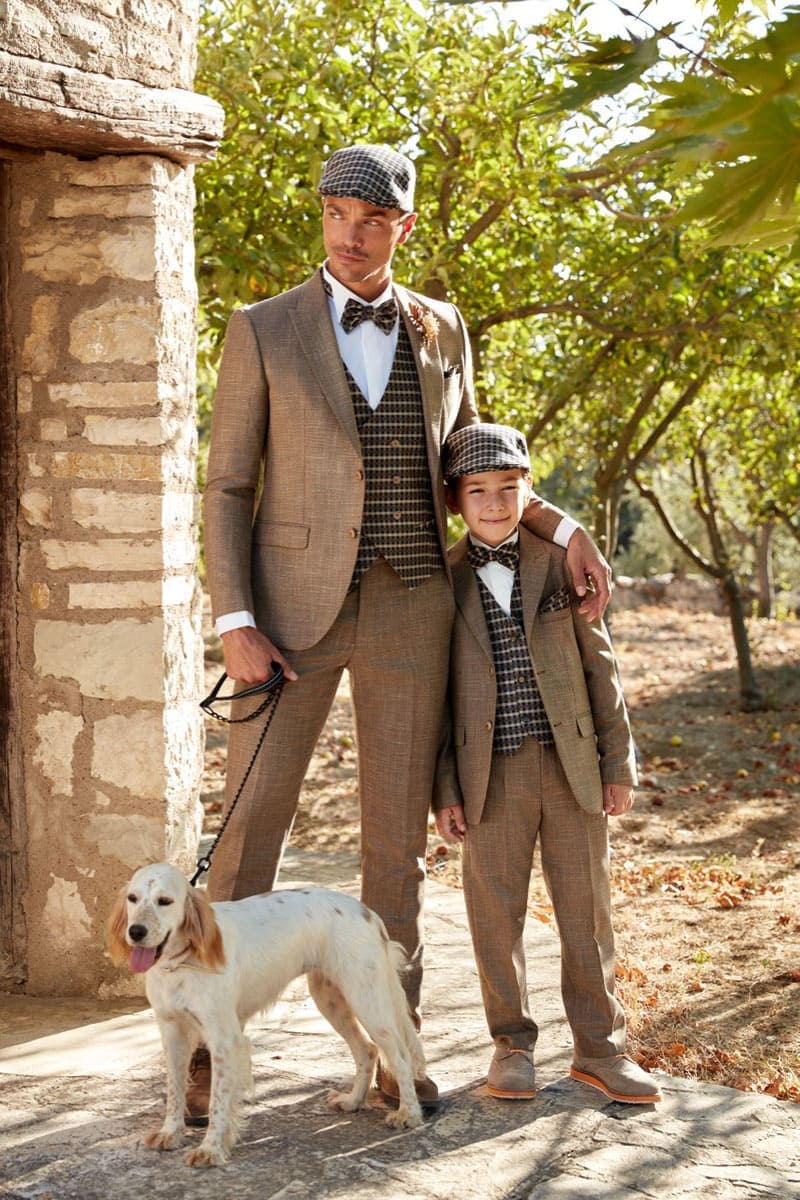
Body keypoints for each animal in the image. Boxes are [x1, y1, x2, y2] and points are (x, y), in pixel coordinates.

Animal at [110, 868, 431, 1166]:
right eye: (132, 898)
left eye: (165, 901)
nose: (136, 931)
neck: (180, 964)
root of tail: (367, 912)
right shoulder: (172, 1033)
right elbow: (175, 1091)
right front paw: (171, 1133)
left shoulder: (225, 1039)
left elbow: (218, 1103)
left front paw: (210, 1149)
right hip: (331, 999)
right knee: (367, 1050)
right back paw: (354, 1100)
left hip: (367, 1001)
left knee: (400, 1058)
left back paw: (409, 1113)